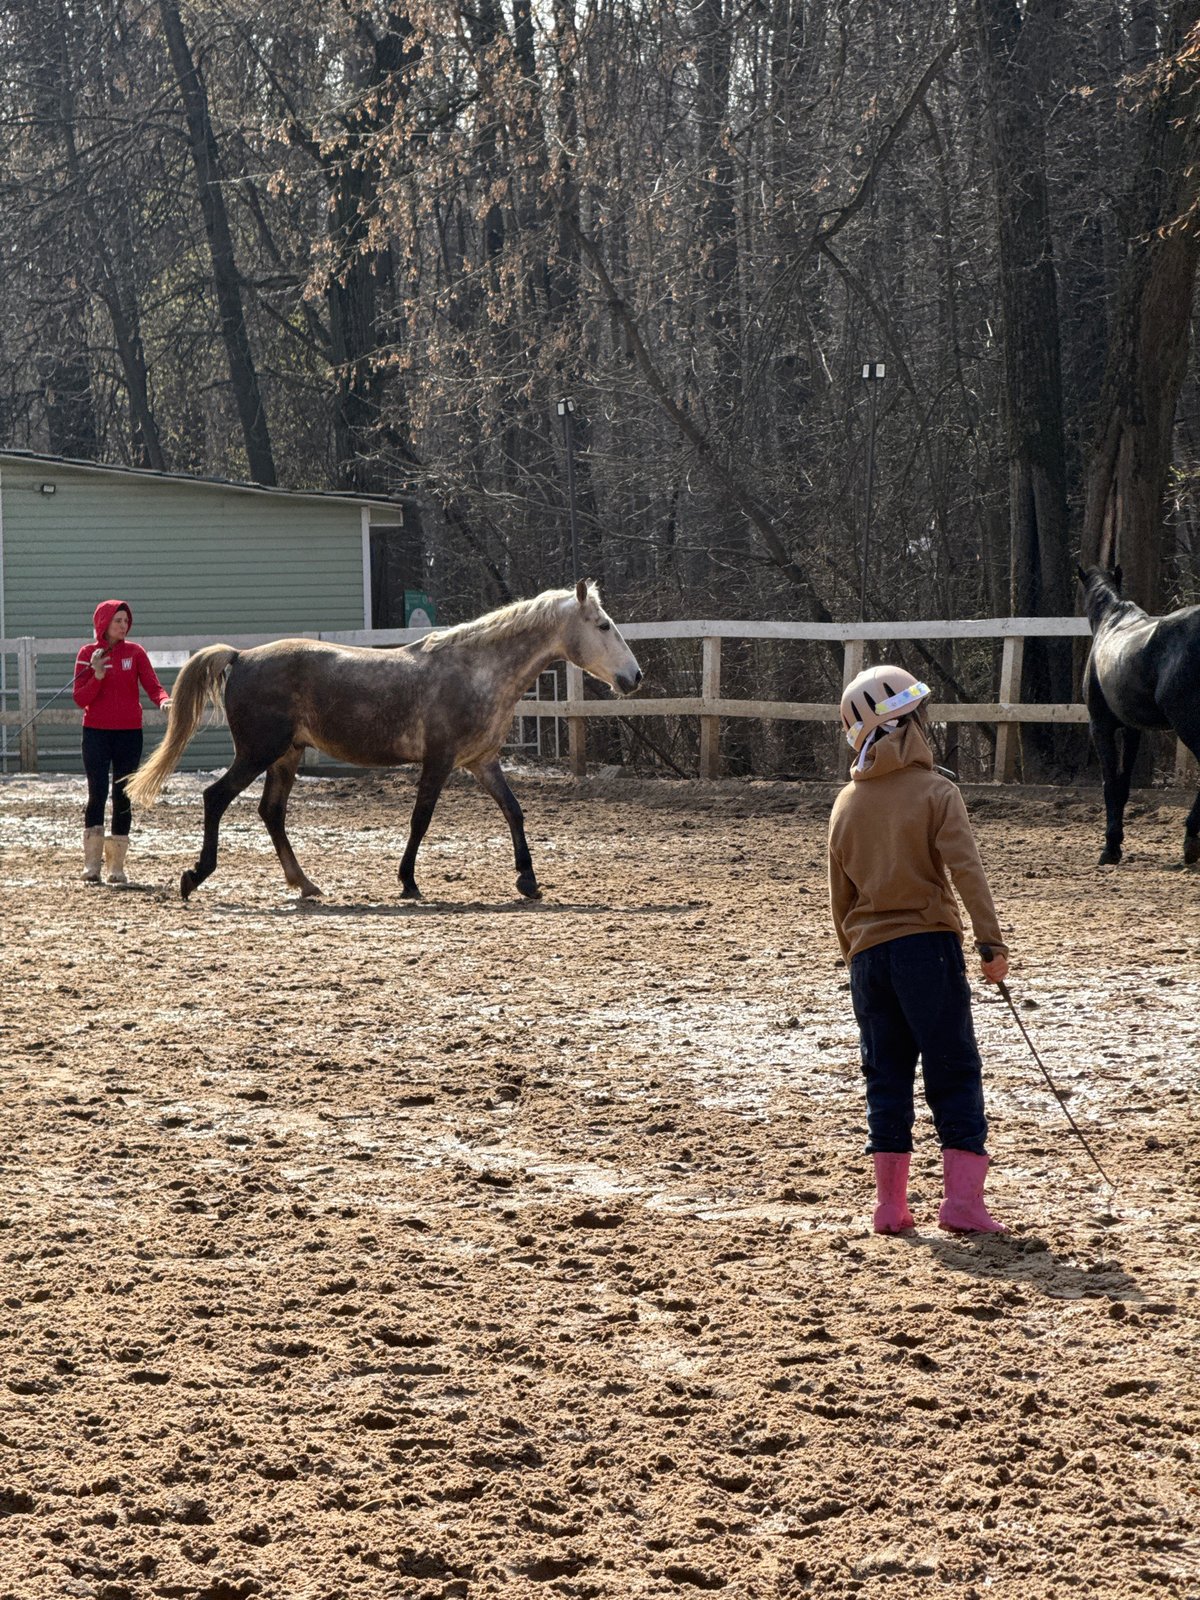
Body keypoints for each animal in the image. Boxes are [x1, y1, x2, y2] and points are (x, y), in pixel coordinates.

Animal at [126, 580, 642, 902]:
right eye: (603, 626)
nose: (634, 677)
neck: (476, 671)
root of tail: (241, 655)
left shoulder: (482, 762)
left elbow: (514, 812)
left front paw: (528, 881)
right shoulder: (440, 760)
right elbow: (420, 819)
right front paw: (408, 882)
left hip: (286, 756)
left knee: (271, 813)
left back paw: (306, 884)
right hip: (257, 753)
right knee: (216, 798)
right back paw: (195, 876)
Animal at [1078, 564, 1200, 866]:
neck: (1111, 622)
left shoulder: (1101, 727)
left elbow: (1111, 784)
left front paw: (1110, 848)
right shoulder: (1132, 729)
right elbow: (1123, 785)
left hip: (1188, 725)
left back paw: (1191, 839)